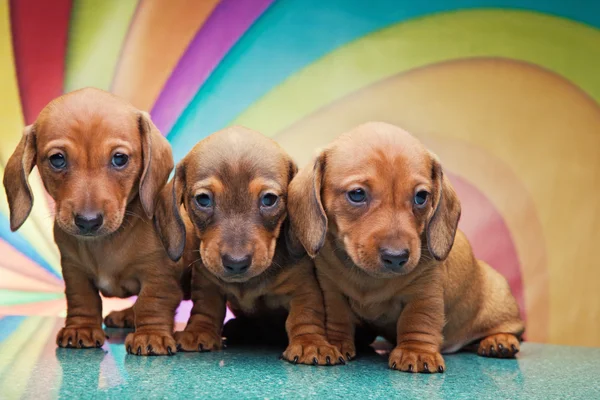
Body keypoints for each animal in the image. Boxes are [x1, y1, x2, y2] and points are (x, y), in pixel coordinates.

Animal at [1, 88, 190, 356]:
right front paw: (81, 328)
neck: (107, 242)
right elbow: (82, 298)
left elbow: (152, 301)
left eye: (119, 159)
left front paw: (150, 334)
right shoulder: (74, 269)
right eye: (57, 159)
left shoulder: (159, 273)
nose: (88, 221)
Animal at [152, 126, 344, 366]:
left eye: (269, 199)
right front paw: (198, 331)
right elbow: (206, 308)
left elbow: (305, 315)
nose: (236, 262)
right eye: (203, 199)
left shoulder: (304, 287)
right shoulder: (207, 282)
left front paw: (311, 343)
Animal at [288, 122, 524, 372]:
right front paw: (335, 343)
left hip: (499, 302)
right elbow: (338, 318)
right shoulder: (332, 290)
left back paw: (499, 340)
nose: (396, 257)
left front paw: (416, 352)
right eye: (357, 194)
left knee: (513, 330)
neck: (370, 279)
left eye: (421, 196)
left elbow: (418, 320)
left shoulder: (424, 291)